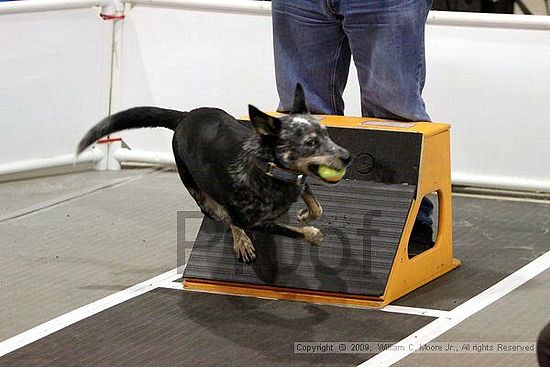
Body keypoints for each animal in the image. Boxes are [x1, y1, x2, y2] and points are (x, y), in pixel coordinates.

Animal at [77, 85, 352, 264]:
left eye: (327, 134)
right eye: (310, 143)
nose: (348, 156)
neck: (267, 170)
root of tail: (185, 116)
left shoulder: (299, 183)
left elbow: (317, 208)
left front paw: (305, 214)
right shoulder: (254, 221)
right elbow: (290, 229)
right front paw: (312, 234)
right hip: (197, 190)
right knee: (218, 213)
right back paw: (240, 239)